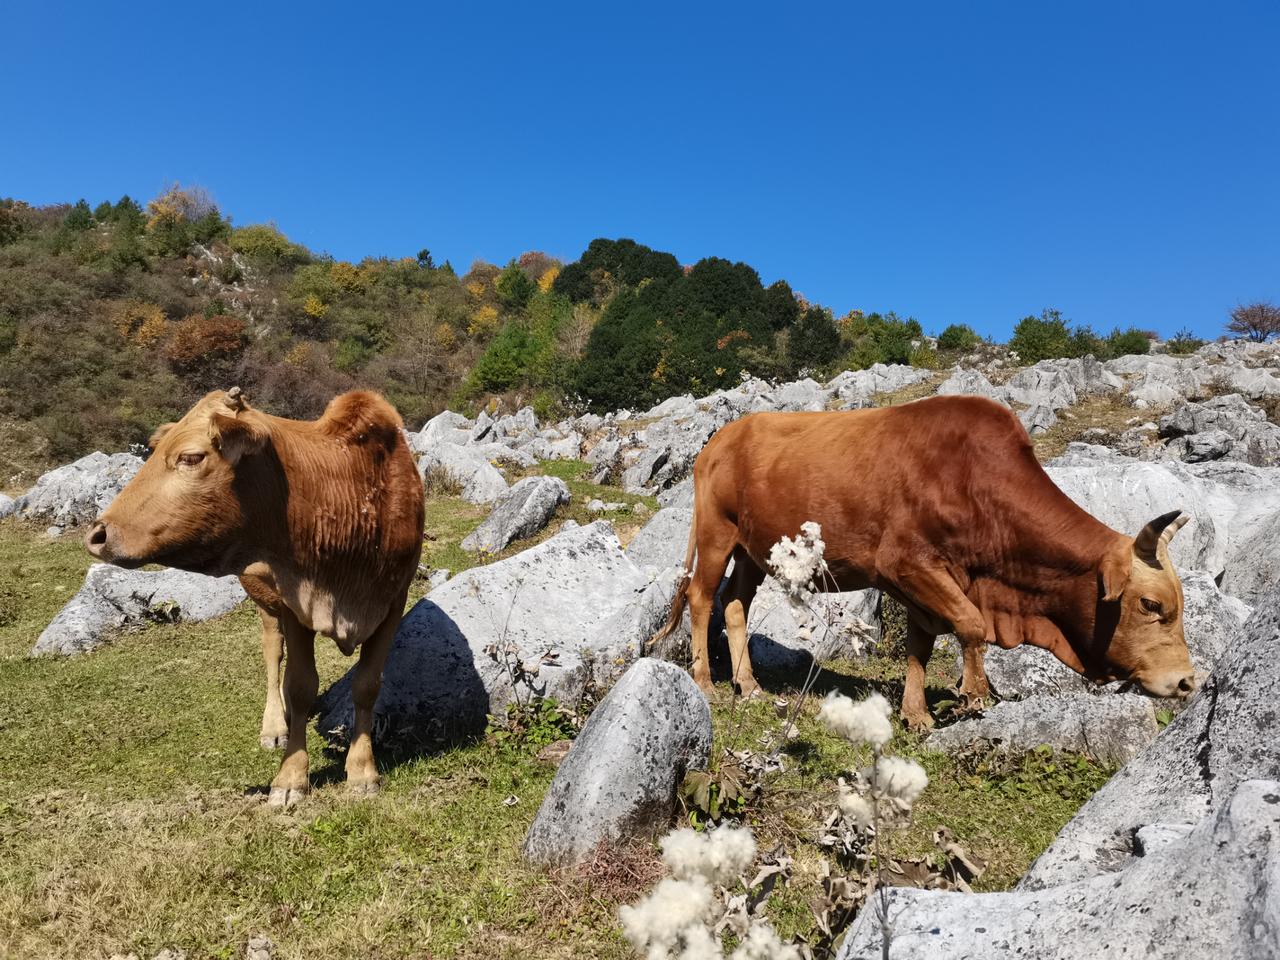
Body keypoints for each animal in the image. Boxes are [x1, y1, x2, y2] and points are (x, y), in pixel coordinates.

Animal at [86, 389, 424, 803]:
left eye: (191, 457)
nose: (98, 534)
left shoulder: (392, 599)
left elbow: (367, 685)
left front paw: (362, 770)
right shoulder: (294, 601)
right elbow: (299, 685)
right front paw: (291, 777)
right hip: (265, 604)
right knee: (273, 655)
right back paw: (275, 726)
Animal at [655, 396, 1192, 727]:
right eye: (1150, 604)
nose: (1188, 680)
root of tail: (721, 438)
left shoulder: (925, 582)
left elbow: (921, 643)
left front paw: (916, 714)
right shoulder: (908, 565)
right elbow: (970, 626)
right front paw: (973, 695)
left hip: (753, 550)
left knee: (734, 604)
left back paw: (749, 685)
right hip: (717, 533)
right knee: (702, 597)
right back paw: (706, 682)